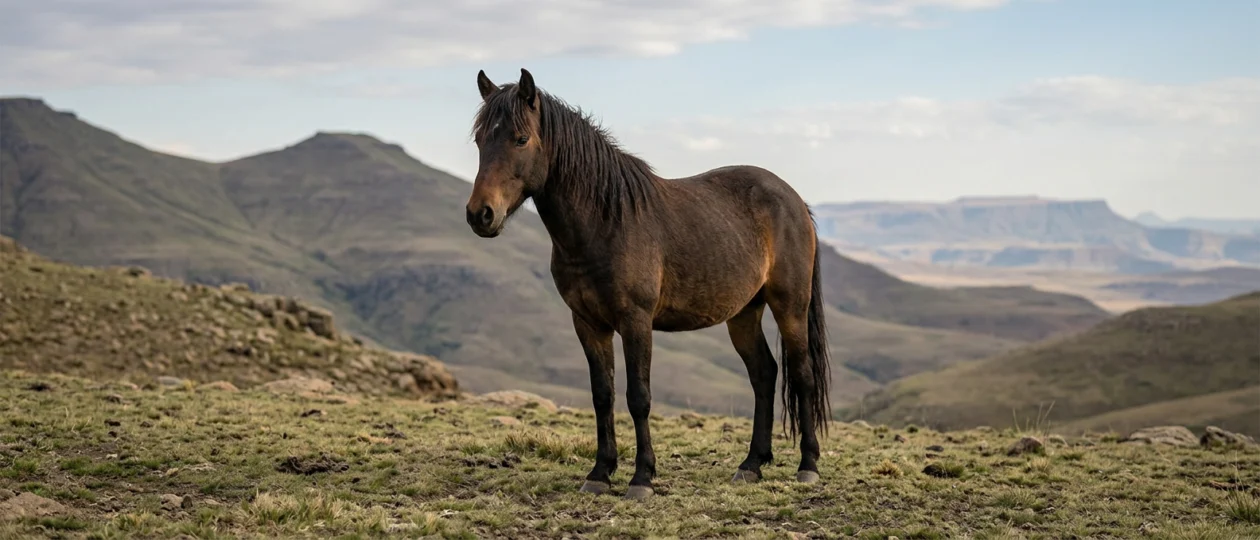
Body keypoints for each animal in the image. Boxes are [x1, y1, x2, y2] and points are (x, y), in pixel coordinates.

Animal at [464, 68, 832, 501]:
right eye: (479, 139)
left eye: (520, 139)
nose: (480, 215)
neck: (606, 222)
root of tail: (794, 200)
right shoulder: (588, 324)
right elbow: (602, 395)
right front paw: (600, 473)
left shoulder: (635, 321)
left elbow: (638, 397)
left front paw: (642, 478)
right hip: (744, 313)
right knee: (764, 374)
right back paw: (751, 465)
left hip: (790, 305)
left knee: (802, 375)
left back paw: (808, 466)